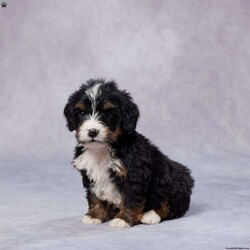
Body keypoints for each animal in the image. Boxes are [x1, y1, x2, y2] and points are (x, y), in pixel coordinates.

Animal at [63, 79, 194, 228]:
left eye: (108, 114)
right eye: (83, 112)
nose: (92, 131)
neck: (102, 148)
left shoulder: (135, 175)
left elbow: (131, 200)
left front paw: (123, 219)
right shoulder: (90, 174)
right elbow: (94, 197)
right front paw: (94, 215)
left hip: (178, 182)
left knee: (172, 206)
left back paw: (151, 215)